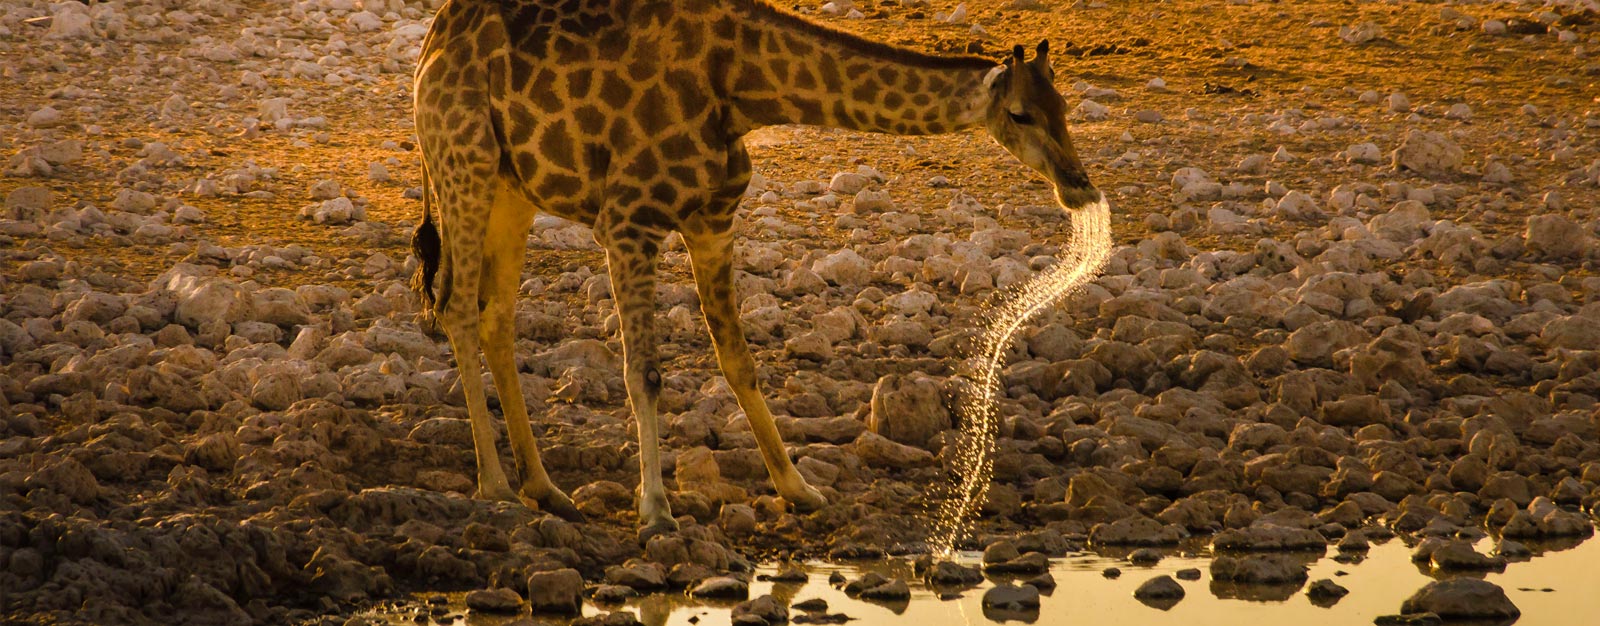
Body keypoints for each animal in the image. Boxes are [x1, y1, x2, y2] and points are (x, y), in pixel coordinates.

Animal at [409, 0, 1100, 537]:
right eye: (1020, 114)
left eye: (1065, 107)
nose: (1079, 187)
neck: (741, 87)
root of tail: (431, 45)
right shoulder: (629, 220)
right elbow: (645, 372)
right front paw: (655, 510)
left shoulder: (713, 222)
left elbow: (740, 360)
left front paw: (799, 489)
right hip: (464, 163)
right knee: (455, 308)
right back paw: (496, 486)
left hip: (512, 190)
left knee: (495, 316)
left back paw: (545, 489)